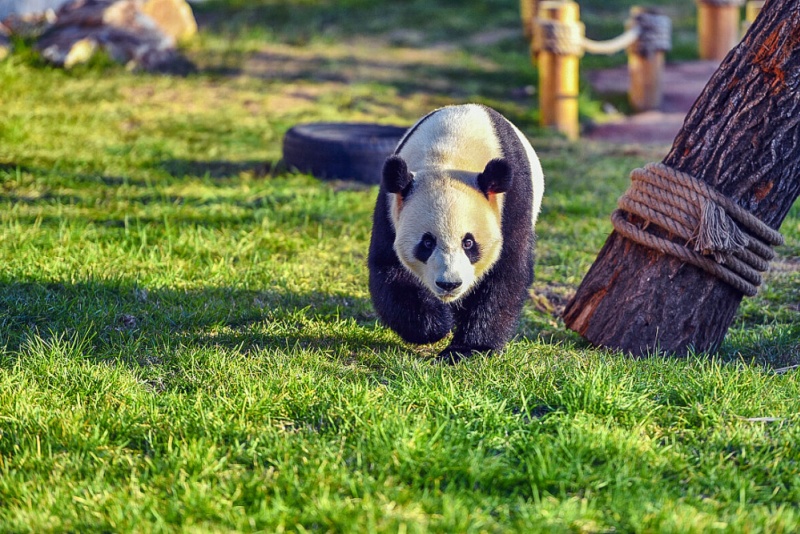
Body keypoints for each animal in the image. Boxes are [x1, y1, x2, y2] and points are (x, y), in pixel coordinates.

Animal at [368, 104, 544, 364]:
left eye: (469, 243)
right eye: (427, 243)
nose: (449, 284)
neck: (449, 156)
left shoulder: (512, 203)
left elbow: (505, 272)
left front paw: (468, 349)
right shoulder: (391, 207)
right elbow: (390, 270)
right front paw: (436, 325)